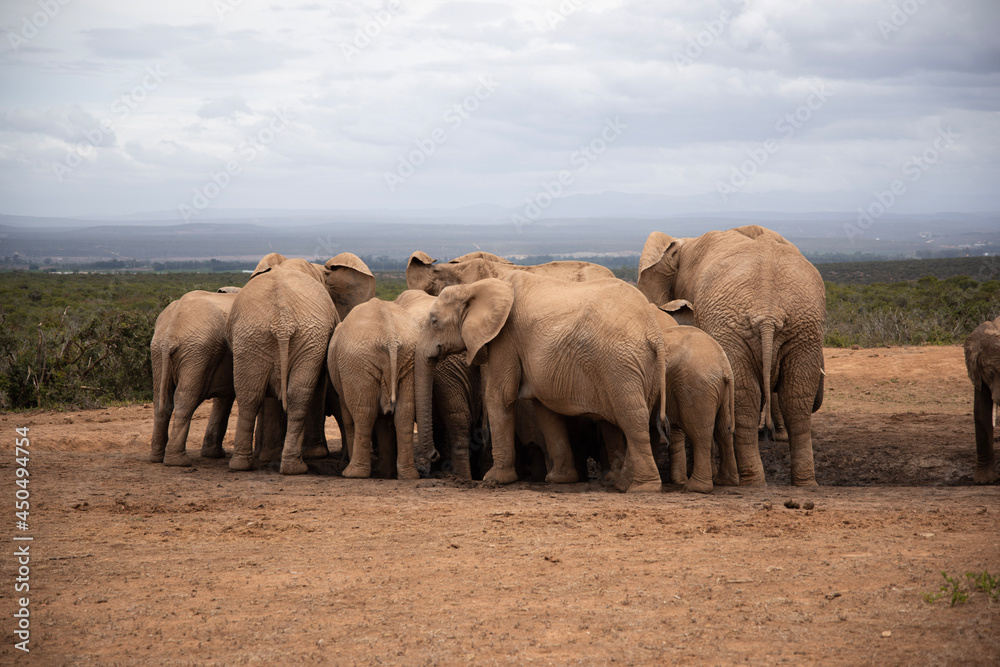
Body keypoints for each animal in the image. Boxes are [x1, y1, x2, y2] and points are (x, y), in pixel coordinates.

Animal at [149, 287, 240, 466]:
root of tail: (171, 332)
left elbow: (224, 399)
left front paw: (214, 455)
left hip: (159, 351)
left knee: (161, 400)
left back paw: (156, 458)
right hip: (197, 352)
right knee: (186, 398)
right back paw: (179, 461)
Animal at [227, 253, 375, 474]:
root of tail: (282, 321)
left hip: (263, 337)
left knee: (256, 395)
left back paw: (271, 466)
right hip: (261, 336)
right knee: (264, 394)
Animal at [327, 298, 420, 480]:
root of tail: (390, 337)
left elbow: (349, 417)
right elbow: (386, 421)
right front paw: (385, 473)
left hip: (357, 363)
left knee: (364, 413)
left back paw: (352, 473)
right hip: (411, 359)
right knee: (404, 413)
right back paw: (409, 476)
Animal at [416, 273, 668, 493]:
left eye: (434, 321)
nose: (434, 456)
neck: (474, 286)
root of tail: (653, 333)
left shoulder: (505, 337)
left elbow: (499, 396)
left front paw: (494, 480)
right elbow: (545, 408)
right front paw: (559, 480)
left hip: (620, 365)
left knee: (632, 418)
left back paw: (641, 488)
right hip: (643, 368)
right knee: (633, 420)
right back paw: (622, 484)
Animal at [637, 224, 825, 487]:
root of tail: (769, 313)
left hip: (762, 327)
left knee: (749, 399)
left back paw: (752, 481)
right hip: (801, 329)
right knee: (793, 399)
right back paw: (799, 482)